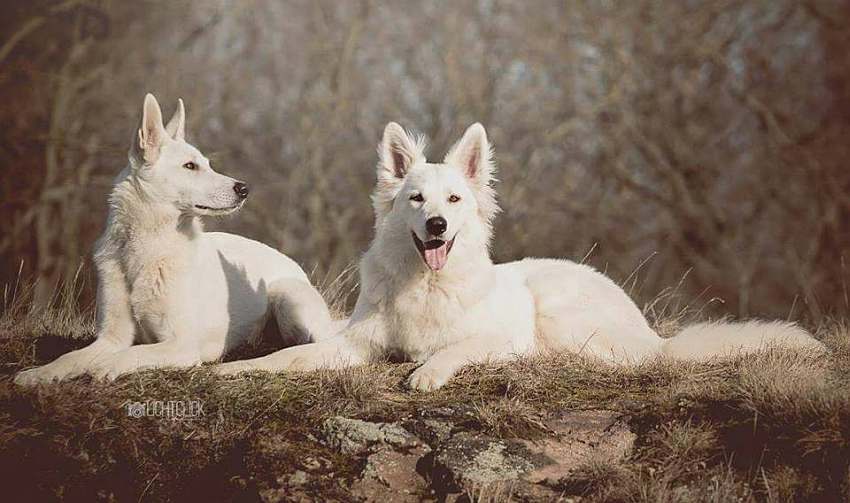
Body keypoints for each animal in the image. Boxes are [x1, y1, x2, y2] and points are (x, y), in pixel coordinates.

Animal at [15, 93, 334, 386]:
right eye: (190, 166)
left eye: (207, 164)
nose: (244, 189)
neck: (148, 249)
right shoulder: (111, 337)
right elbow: (71, 357)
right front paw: (38, 374)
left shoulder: (181, 345)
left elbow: (132, 353)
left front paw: (104, 367)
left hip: (287, 295)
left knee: (317, 346)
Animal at [215, 122, 824, 390]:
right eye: (416, 199)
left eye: (454, 200)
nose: (437, 226)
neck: (427, 286)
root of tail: (654, 334)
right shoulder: (355, 344)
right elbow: (291, 357)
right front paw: (242, 369)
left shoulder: (498, 337)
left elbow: (458, 348)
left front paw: (429, 371)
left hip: (552, 305)